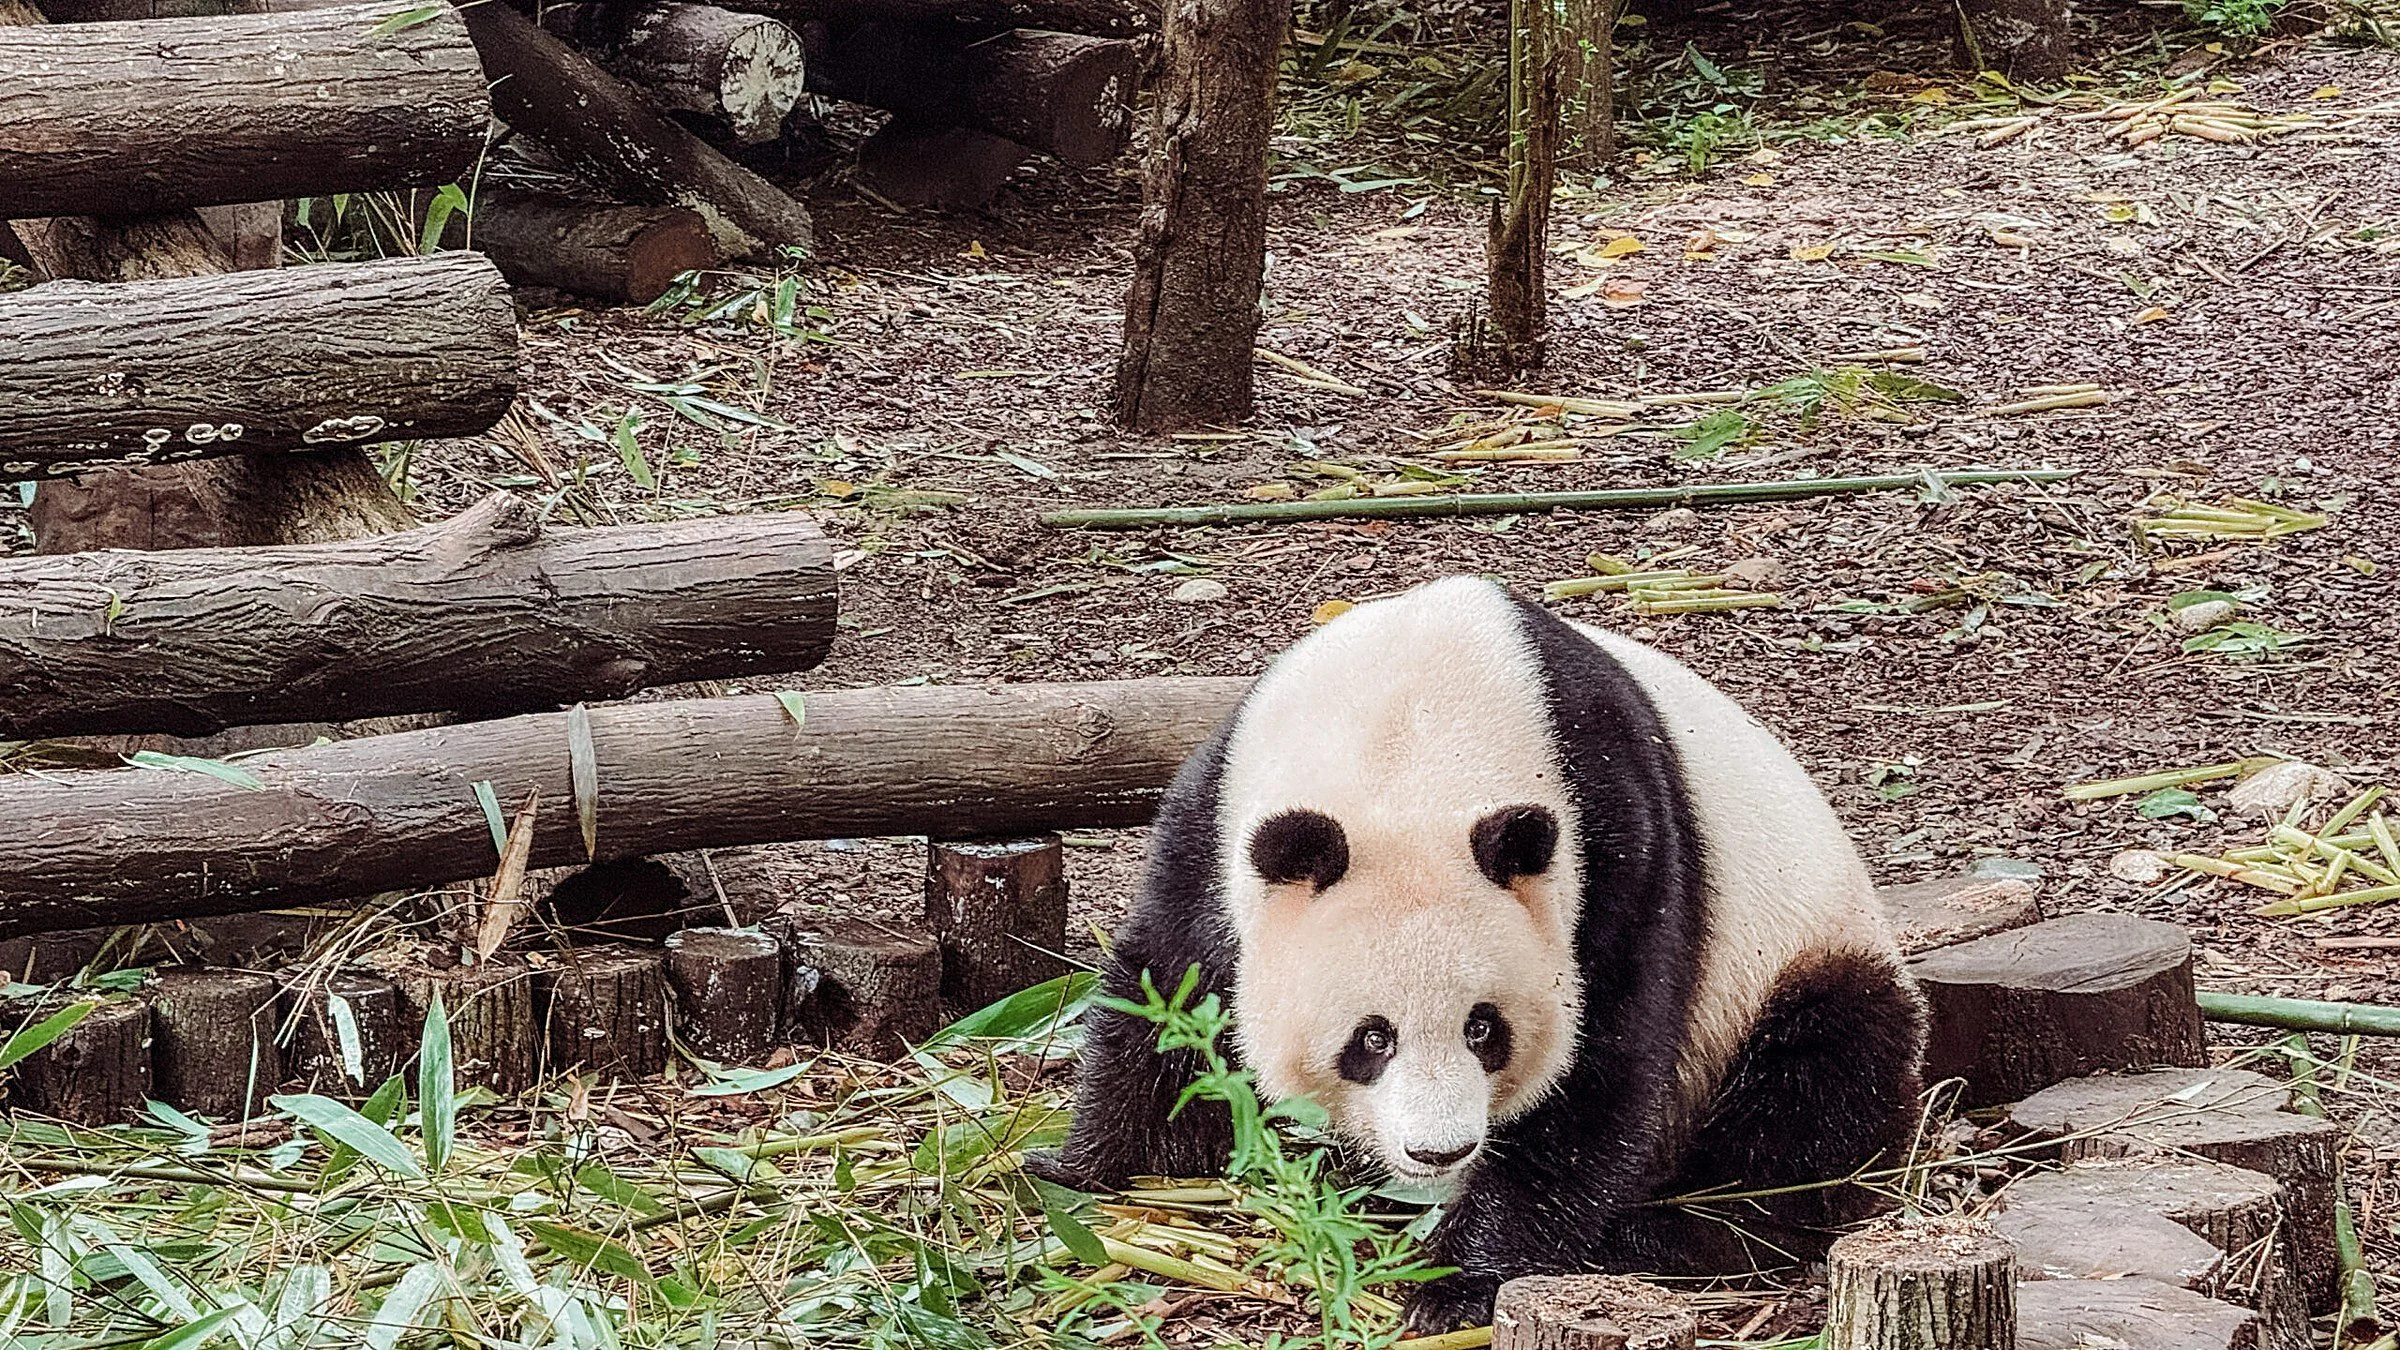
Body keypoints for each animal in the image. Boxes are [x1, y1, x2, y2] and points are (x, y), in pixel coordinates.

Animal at [1028, 575, 1927, 1331]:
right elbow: (1167, 984)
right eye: (1371, 1038)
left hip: (1801, 946)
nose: (1440, 1152)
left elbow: (1603, 1063)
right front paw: (1080, 1169)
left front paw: (1457, 1284)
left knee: (1817, 1084)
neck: (1413, 736)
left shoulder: (1620, 836)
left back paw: (1668, 1231)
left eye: (1483, 1028)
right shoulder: (1216, 817)